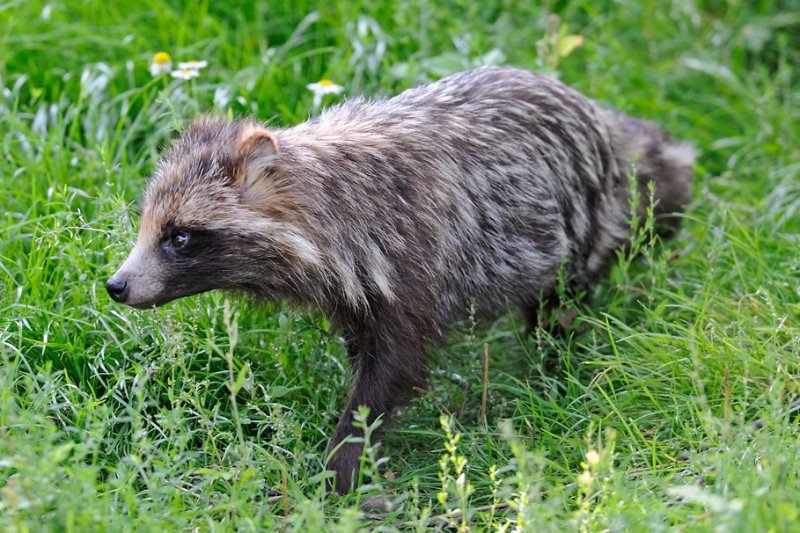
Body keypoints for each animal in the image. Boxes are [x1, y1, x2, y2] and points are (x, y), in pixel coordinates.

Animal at [108, 67, 692, 494]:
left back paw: (555, 363)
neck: (333, 200)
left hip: (572, 224)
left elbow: (392, 372)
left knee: (559, 307)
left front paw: (340, 467)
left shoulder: (413, 262)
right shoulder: (357, 291)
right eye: (147, 224)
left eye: (180, 236)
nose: (117, 286)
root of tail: (595, 113)